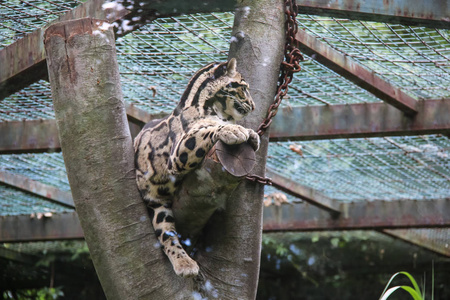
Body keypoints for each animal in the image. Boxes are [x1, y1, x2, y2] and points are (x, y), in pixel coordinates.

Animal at [134, 58, 260, 276]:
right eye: (243, 88)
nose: (253, 106)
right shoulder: (177, 154)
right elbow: (206, 130)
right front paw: (234, 130)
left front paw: (252, 134)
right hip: (157, 202)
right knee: (166, 235)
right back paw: (185, 264)